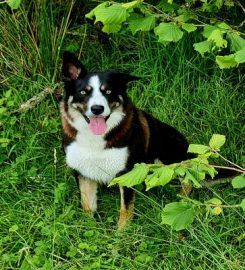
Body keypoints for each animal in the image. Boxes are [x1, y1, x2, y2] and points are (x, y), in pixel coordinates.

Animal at [60, 51, 192, 229]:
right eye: (83, 92)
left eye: (108, 92)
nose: (97, 109)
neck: (95, 140)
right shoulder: (83, 172)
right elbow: (87, 205)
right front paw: (90, 227)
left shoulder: (127, 172)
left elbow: (125, 209)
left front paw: (121, 233)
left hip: (166, 157)